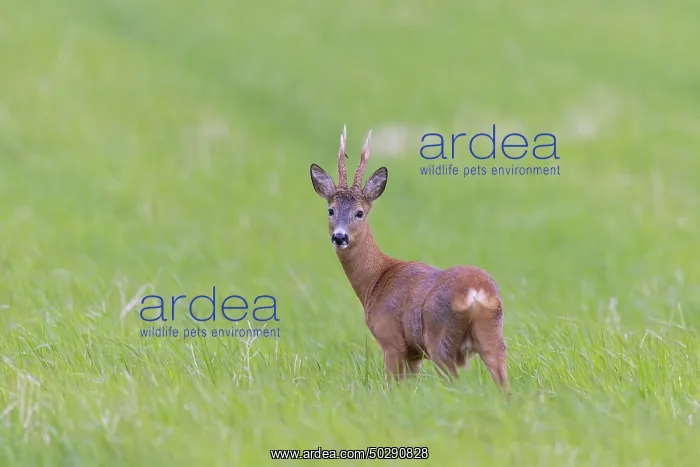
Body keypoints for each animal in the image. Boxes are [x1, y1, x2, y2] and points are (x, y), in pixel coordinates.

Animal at [309, 125, 509, 393]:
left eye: (359, 213)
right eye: (331, 210)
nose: (339, 237)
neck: (376, 280)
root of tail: (476, 293)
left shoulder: (391, 341)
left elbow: (392, 387)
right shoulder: (415, 354)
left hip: (440, 339)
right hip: (492, 336)